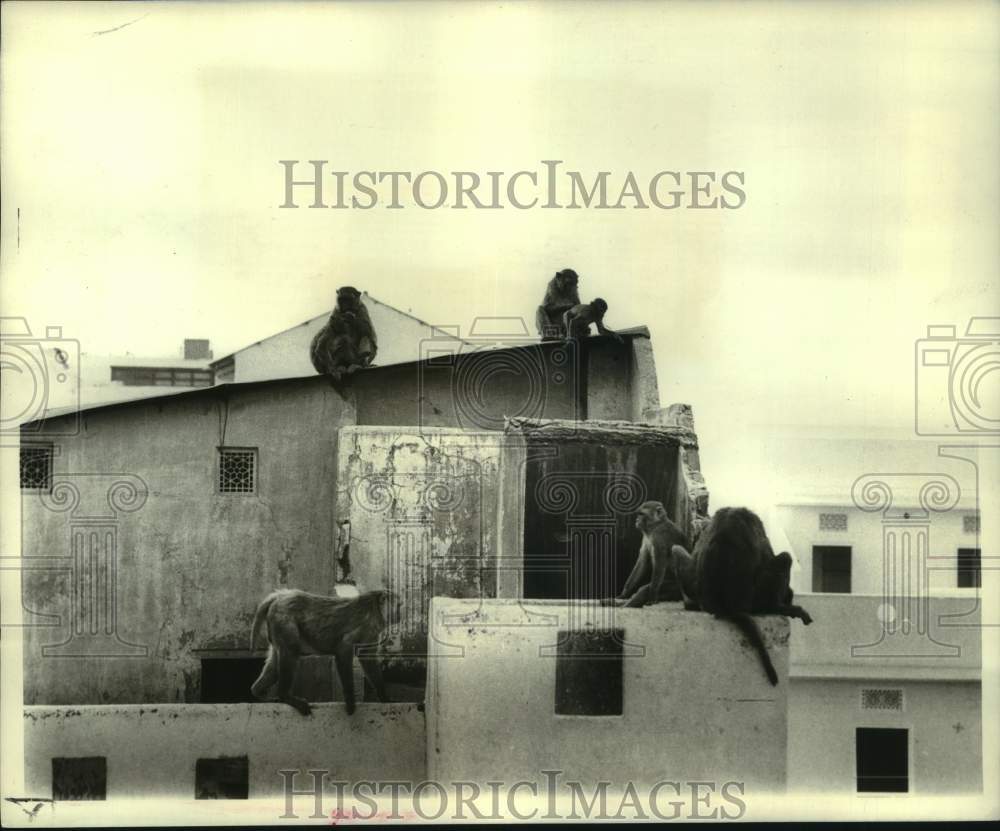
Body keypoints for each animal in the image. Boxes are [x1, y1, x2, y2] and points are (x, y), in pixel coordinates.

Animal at [248, 584, 400, 716]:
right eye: (399, 605)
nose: (402, 613)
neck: (376, 610)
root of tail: (280, 596)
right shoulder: (365, 625)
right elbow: (344, 650)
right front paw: (350, 702)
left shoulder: (371, 633)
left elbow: (368, 660)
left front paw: (384, 697)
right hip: (283, 620)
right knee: (291, 651)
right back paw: (285, 696)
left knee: (275, 662)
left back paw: (259, 692)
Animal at [664, 508, 812, 688]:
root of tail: (727, 606)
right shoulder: (755, 523)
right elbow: (768, 555)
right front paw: (788, 596)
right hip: (755, 599)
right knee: (784, 558)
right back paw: (775, 606)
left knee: (676, 549)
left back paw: (690, 603)